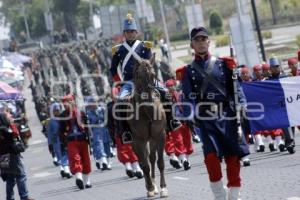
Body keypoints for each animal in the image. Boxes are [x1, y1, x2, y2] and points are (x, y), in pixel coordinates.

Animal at [127, 55, 169, 198]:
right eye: (139, 76)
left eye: (153, 75)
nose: (150, 102)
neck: (146, 111)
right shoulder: (138, 141)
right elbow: (144, 165)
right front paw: (150, 188)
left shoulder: (160, 136)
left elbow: (160, 162)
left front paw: (163, 188)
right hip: (137, 143)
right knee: (144, 161)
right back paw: (150, 186)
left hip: (152, 140)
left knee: (151, 158)